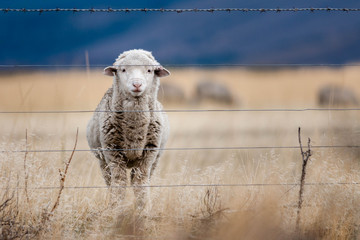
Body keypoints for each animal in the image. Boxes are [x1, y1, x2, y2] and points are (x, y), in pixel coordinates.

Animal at [87, 49, 172, 208]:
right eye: (123, 70)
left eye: (149, 70)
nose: (137, 84)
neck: (134, 128)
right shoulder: (112, 152)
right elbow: (119, 184)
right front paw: (115, 208)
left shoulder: (149, 153)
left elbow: (140, 183)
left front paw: (144, 209)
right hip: (103, 160)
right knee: (110, 181)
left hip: (155, 160)